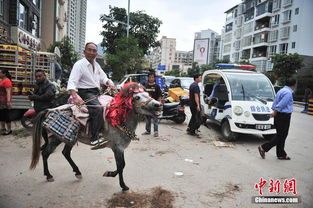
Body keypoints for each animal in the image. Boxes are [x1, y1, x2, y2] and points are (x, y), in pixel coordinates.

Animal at [29, 82, 162, 191]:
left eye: (148, 94)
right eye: (137, 97)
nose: (158, 105)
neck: (119, 118)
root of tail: (49, 110)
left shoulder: (120, 148)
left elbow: (121, 165)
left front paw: (113, 177)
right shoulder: (117, 148)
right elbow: (121, 166)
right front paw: (121, 184)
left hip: (70, 139)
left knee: (65, 153)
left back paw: (77, 172)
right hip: (57, 138)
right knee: (45, 153)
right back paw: (49, 175)